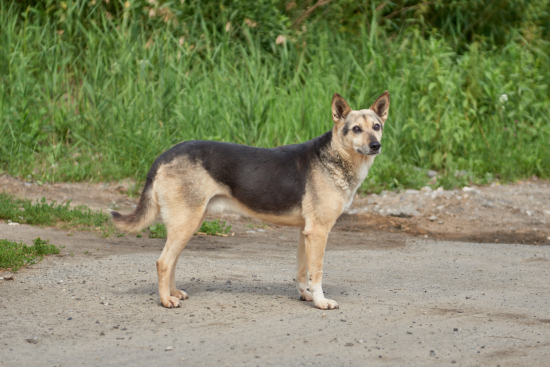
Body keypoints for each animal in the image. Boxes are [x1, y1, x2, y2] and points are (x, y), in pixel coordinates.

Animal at [110, 92, 390, 310]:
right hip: (186, 223)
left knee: (171, 260)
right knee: (163, 262)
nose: (376, 146)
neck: (336, 156)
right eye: (356, 129)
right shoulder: (319, 232)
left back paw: (173, 293)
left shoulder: (306, 232)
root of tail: (165, 154)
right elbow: (317, 272)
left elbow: (302, 271)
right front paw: (321, 302)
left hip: (188, 223)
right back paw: (166, 300)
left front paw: (306, 296)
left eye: (376, 127)